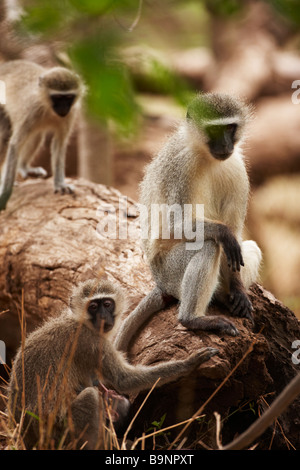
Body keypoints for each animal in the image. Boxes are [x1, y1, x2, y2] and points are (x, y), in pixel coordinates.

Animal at [0, 59, 84, 210]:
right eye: (57, 97)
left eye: (68, 97)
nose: (64, 108)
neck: (49, 108)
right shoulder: (31, 111)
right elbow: (15, 144)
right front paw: (5, 195)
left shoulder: (70, 114)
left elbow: (59, 144)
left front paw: (60, 184)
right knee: (5, 138)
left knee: (37, 136)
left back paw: (24, 167)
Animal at [7, 278, 218, 450]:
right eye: (93, 306)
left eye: (107, 304)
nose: (103, 317)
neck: (81, 322)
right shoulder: (90, 342)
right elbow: (123, 380)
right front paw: (189, 362)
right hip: (62, 435)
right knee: (90, 396)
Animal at [113, 92, 262, 352]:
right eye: (214, 130)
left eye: (230, 128)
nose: (225, 145)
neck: (206, 155)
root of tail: (161, 284)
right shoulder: (181, 167)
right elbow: (177, 224)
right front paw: (223, 232)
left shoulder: (237, 168)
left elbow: (235, 232)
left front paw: (238, 289)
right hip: (171, 272)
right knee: (209, 244)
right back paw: (192, 318)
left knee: (247, 247)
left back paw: (226, 296)